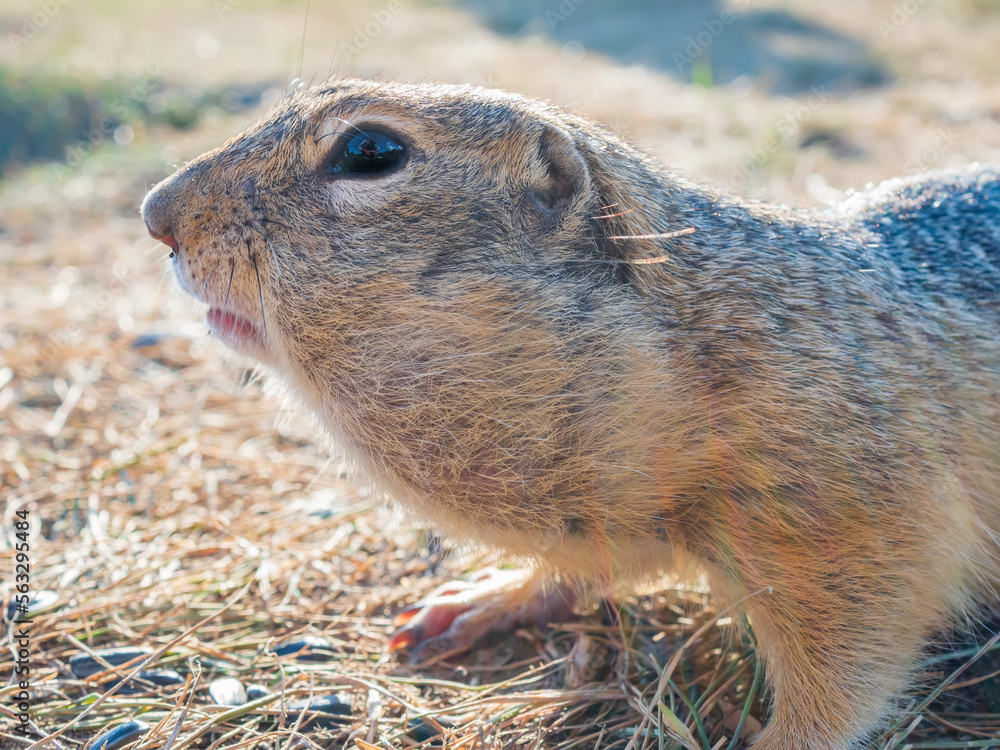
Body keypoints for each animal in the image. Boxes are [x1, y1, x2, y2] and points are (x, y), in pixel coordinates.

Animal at [141, 79, 1000, 748]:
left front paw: (778, 742)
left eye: (370, 152)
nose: (155, 213)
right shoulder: (617, 508)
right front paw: (485, 601)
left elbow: (849, 668)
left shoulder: (855, 520)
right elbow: (591, 564)